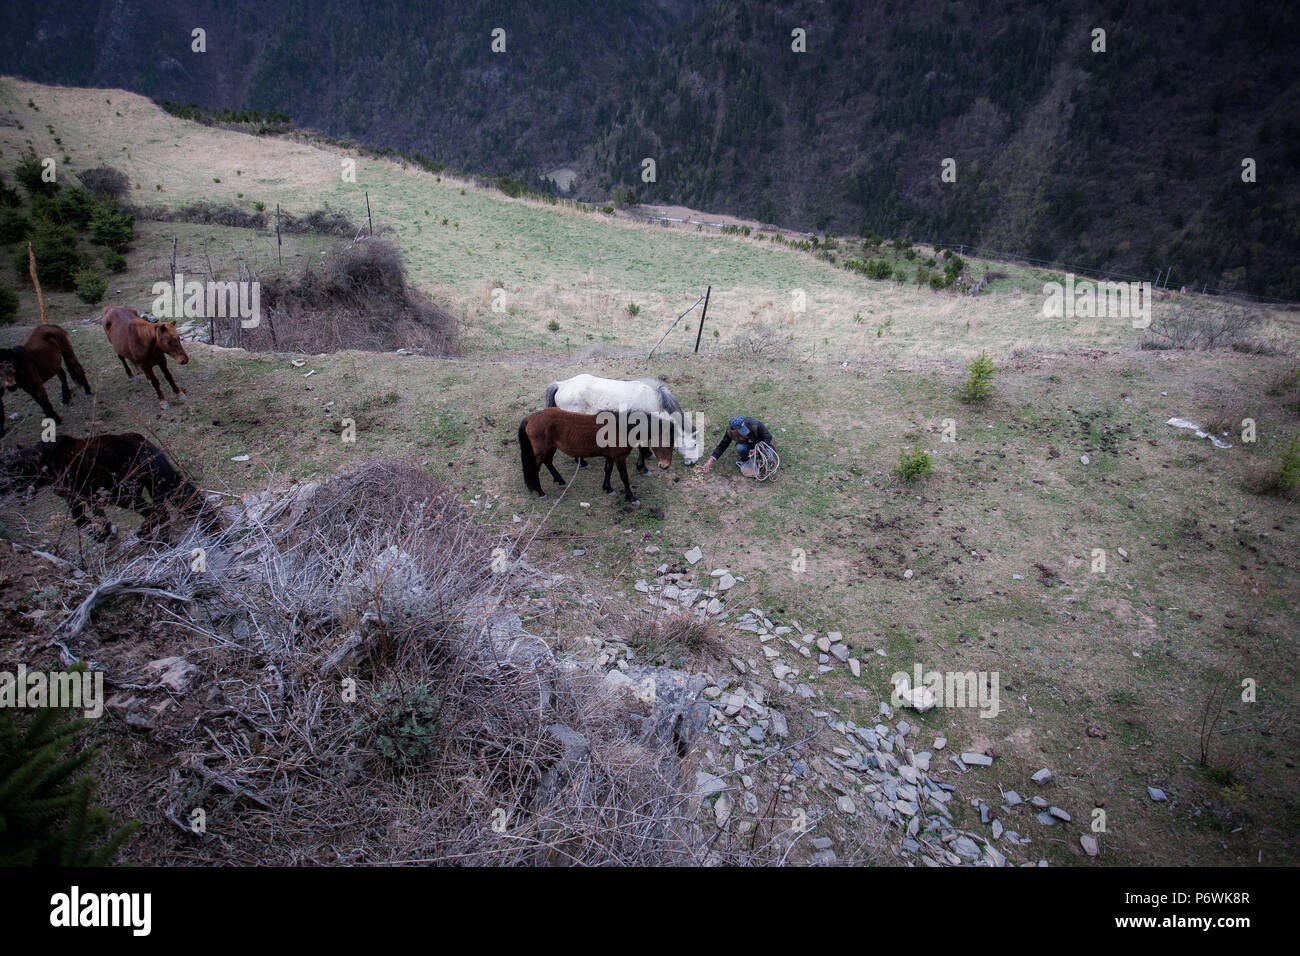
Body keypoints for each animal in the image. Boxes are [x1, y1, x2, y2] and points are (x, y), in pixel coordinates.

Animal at [0, 434, 218, 546]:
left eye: (13, 471)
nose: (8, 491)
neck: (44, 462)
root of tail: (141, 444)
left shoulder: (78, 496)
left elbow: (82, 520)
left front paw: (100, 535)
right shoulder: (87, 496)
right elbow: (93, 517)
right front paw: (104, 533)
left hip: (122, 494)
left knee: (156, 512)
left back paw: (145, 535)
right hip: (154, 485)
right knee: (162, 511)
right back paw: (161, 540)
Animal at [520, 408, 681, 504]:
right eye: (666, 442)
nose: (665, 466)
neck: (622, 428)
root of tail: (530, 418)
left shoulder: (610, 456)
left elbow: (608, 470)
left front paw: (607, 488)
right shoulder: (619, 458)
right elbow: (624, 477)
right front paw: (631, 497)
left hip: (551, 447)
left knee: (548, 462)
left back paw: (559, 480)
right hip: (541, 451)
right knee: (535, 469)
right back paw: (540, 492)